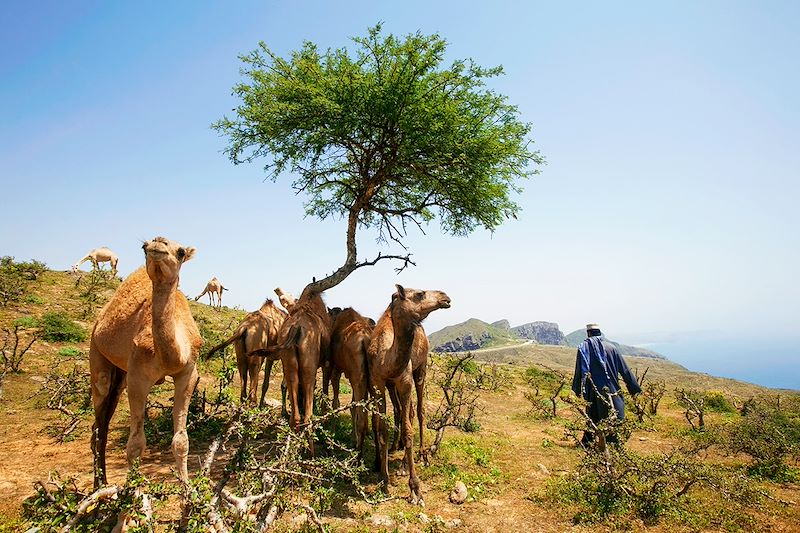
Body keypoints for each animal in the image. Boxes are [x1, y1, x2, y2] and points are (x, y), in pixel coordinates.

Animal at [88, 236, 202, 486]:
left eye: (181, 252)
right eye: (144, 246)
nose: (158, 243)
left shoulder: (187, 373)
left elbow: (181, 441)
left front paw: (189, 489)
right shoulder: (138, 376)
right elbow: (135, 444)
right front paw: (134, 490)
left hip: (119, 375)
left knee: (101, 425)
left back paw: (103, 482)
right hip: (97, 353)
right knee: (98, 425)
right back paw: (99, 486)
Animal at [324, 310, 374, 456]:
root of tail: (364, 340)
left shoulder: (336, 368)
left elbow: (336, 402)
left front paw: (332, 432)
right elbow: (352, 406)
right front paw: (352, 438)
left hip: (356, 375)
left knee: (362, 418)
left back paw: (357, 454)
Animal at [368, 282, 450, 502]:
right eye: (420, 294)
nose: (445, 297)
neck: (386, 357)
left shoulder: (405, 381)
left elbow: (408, 430)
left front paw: (415, 489)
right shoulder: (379, 382)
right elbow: (382, 429)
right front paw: (384, 480)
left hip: (420, 369)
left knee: (418, 411)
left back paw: (420, 457)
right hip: (393, 385)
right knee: (403, 411)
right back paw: (402, 459)